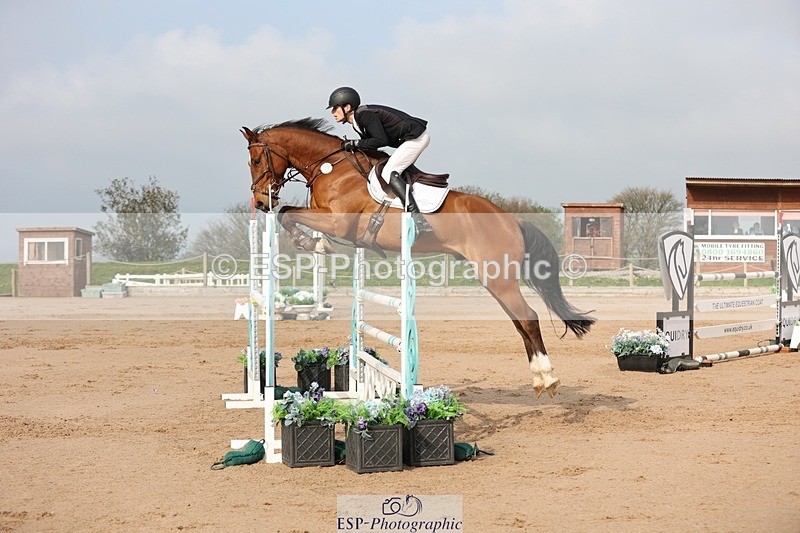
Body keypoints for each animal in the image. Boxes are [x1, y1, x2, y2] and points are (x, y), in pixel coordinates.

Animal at [241, 118, 595, 398]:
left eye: (256, 160)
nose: (260, 201)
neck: (332, 168)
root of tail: (512, 220)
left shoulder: (338, 221)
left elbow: (288, 213)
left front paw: (311, 242)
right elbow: (289, 214)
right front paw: (313, 243)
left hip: (499, 277)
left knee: (529, 318)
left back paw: (548, 378)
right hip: (494, 278)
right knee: (519, 320)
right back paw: (538, 378)